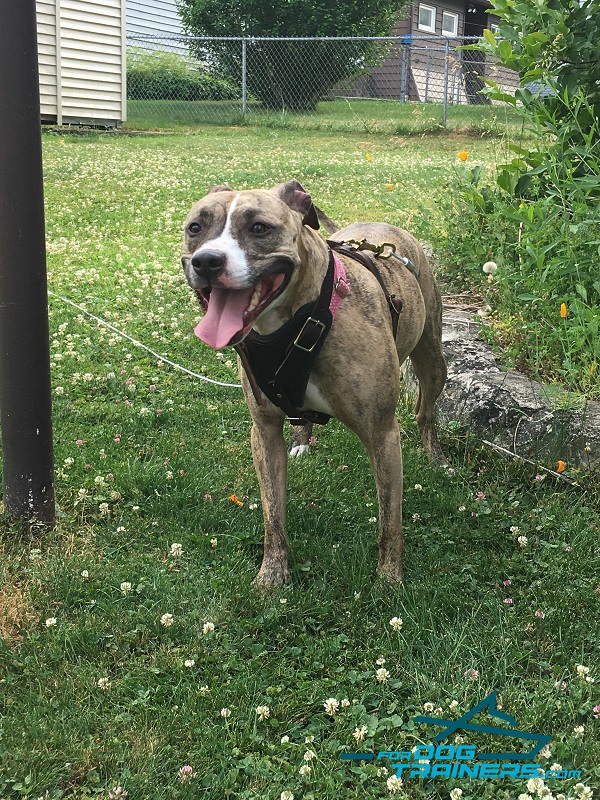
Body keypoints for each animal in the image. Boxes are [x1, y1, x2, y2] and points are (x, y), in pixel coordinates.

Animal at [182, 178, 446, 588]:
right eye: (196, 227)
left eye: (259, 227)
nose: (207, 261)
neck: (295, 324)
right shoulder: (264, 432)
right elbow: (273, 516)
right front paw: (272, 574)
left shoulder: (382, 433)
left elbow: (390, 522)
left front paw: (389, 579)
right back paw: (301, 440)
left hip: (433, 360)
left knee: (425, 411)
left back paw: (435, 456)